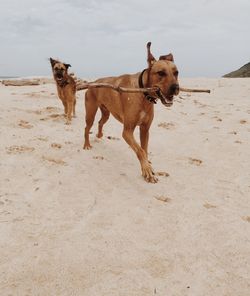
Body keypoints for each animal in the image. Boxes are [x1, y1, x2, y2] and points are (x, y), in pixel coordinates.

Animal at [84, 42, 180, 183]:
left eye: (176, 73)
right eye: (161, 73)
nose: (176, 88)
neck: (144, 94)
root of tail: (93, 82)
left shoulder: (145, 130)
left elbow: (144, 150)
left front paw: (147, 165)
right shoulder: (127, 131)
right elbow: (140, 150)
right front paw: (147, 170)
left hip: (106, 112)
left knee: (101, 122)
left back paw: (100, 135)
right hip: (90, 112)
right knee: (87, 128)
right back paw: (86, 144)